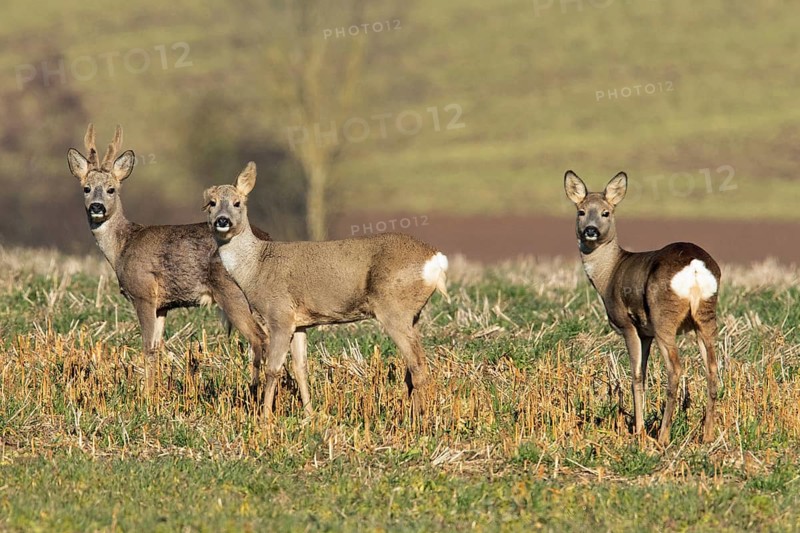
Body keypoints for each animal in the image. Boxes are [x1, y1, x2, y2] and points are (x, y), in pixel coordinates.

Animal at [66, 124, 300, 397]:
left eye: (111, 189)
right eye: (86, 188)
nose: (97, 207)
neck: (122, 246)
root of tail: (266, 240)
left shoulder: (143, 293)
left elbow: (147, 346)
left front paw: (146, 396)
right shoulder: (162, 305)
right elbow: (157, 347)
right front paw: (155, 391)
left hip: (233, 294)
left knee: (259, 338)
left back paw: (253, 392)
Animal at [202, 162, 450, 416]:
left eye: (237, 202)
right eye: (211, 203)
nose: (222, 220)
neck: (256, 266)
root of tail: (435, 259)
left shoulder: (279, 315)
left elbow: (273, 369)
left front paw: (264, 416)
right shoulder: (299, 323)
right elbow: (300, 368)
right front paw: (309, 415)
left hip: (394, 309)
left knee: (418, 365)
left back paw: (418, 419)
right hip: (413, 314)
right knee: (413, 367)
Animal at [563, 170, 721, 446]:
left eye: (606, 212)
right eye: (581, 211)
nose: (590, 230)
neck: (610, 273)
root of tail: (694, 267)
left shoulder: (628, 325)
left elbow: (635, 375)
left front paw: (638, 431)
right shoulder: (645, 332)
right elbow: (644, 374)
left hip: (663, 318)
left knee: (675, 369)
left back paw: (663, 437)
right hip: (705, 315)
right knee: (713, 368)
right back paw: (707, 436)